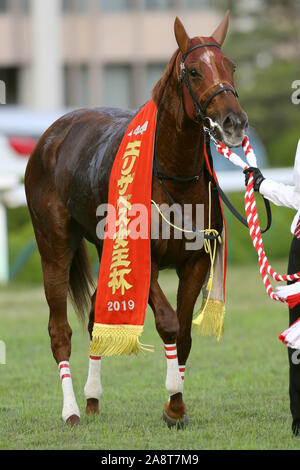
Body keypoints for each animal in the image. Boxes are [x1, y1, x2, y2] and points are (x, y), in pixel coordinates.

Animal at [24, 12, 247, 428]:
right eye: (194, 71)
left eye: (231, 66)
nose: (234, 122)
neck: (174, 176)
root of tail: (53, 134)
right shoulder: (145, 261)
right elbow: (168, 322)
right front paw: (174, 401)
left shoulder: (195, 260)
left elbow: (184, 332)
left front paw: (176, 404)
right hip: (54, 243)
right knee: (59, 329)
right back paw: (72, 411)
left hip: (106, 248)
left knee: (95, 316)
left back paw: (92, 399)